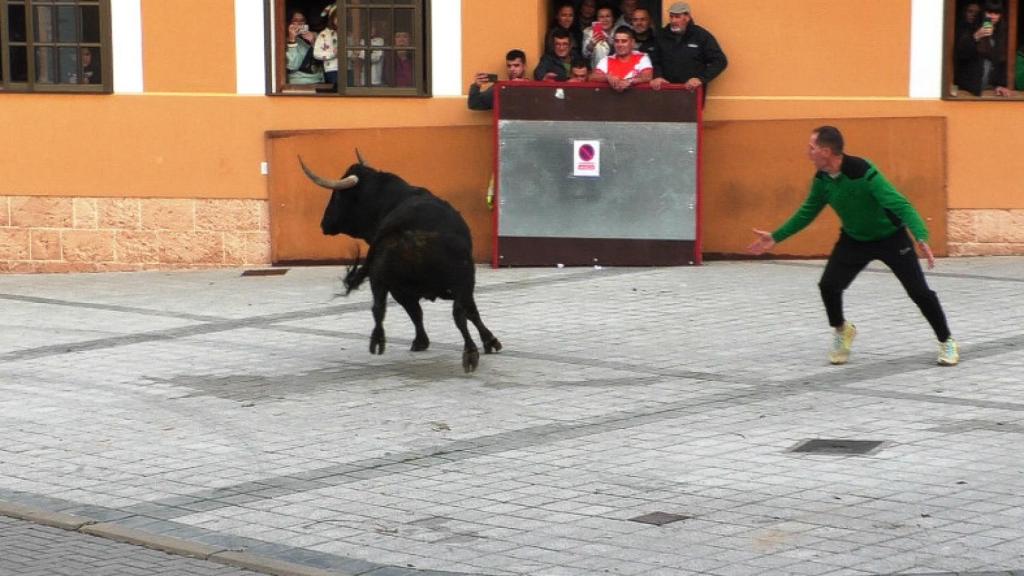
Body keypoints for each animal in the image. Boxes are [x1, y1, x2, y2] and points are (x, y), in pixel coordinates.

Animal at [299, 155, 501, 373]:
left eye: (336, 196)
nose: (324, 224)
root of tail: (403, 229)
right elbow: (470, 312)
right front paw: (490, 341)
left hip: (387, 280)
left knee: (384, 307)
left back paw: (379, 340)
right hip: (459, 278)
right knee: (459, 312)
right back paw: (469, 353)